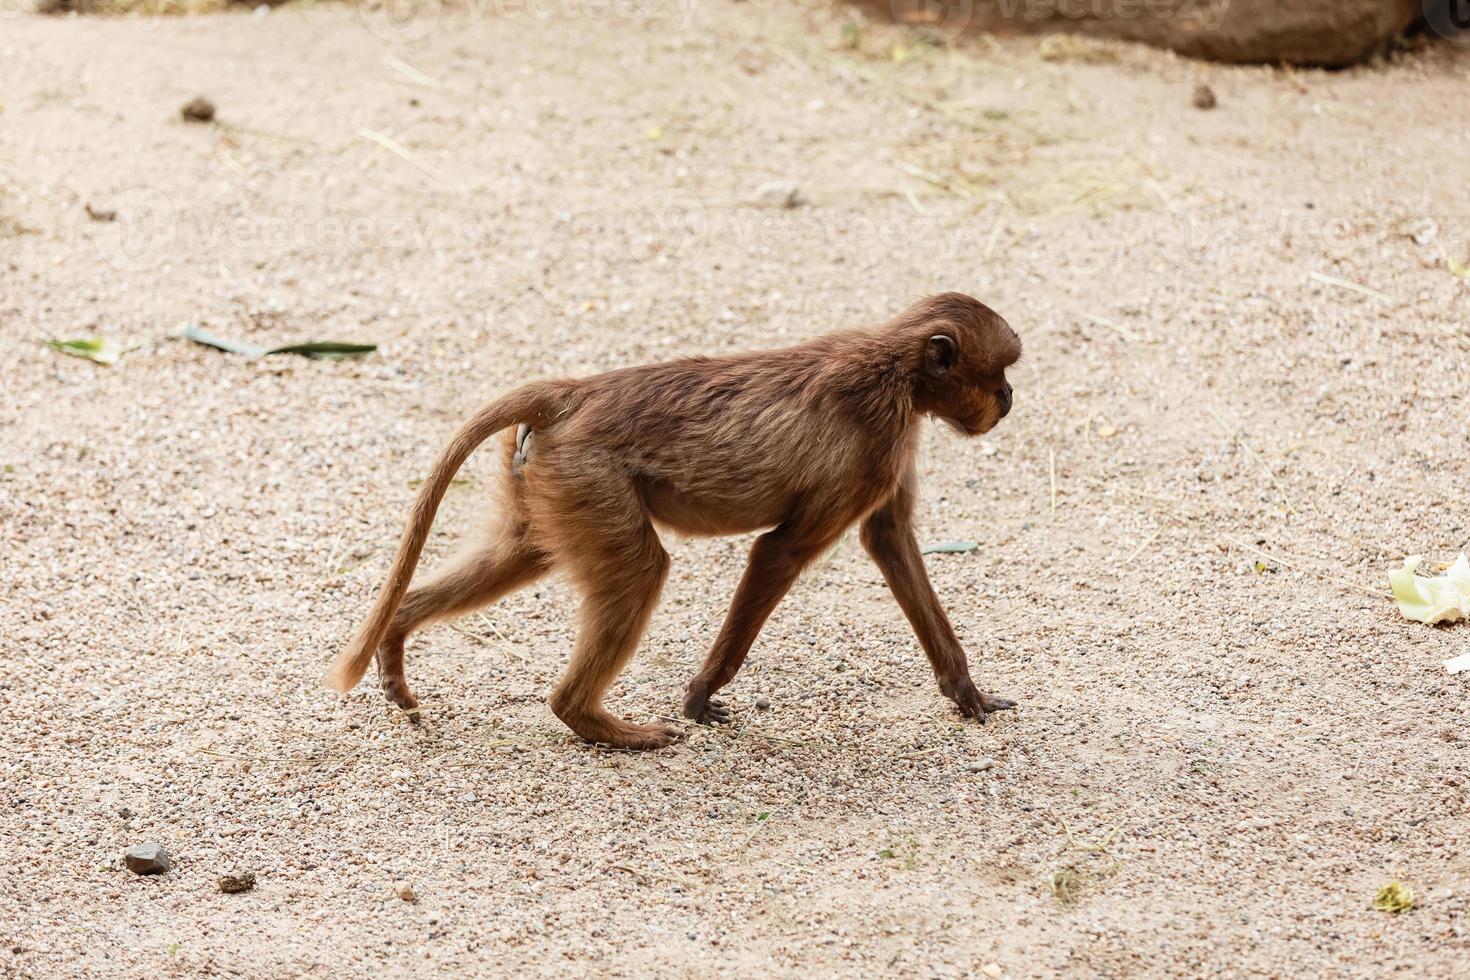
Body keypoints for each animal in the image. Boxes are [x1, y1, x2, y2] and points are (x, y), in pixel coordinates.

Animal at [327, 290, 1023, 752]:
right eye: (1001, 372)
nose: (1009, 399)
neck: (896, 367)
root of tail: (573, 393)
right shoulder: (876, 443)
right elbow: (779, 551)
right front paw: (701, 697)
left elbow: (890, 541)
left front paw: (966, 694)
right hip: (587, 476)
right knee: (640, 570)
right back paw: (592, 720)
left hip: (547, 480)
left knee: (520, 553)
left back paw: (399, 634)